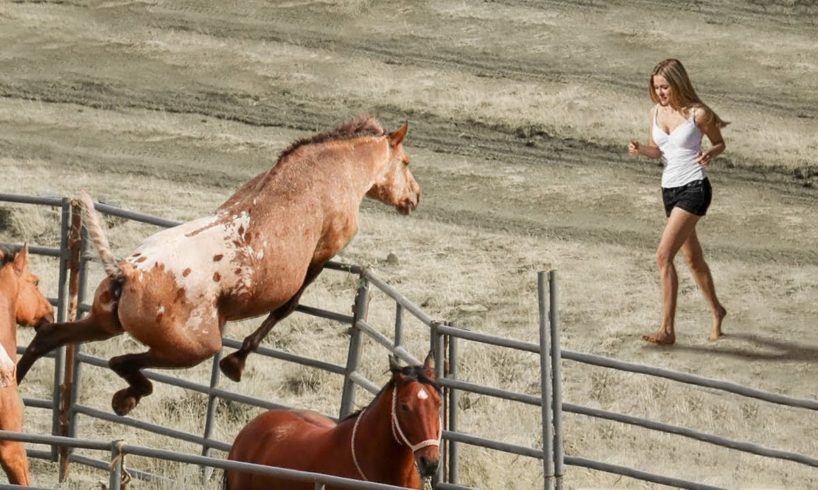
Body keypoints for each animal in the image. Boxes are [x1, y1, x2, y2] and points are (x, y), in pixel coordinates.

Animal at [15, 117, 420, 416]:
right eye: (406, 163)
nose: (415, 197)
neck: (329, 171)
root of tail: (127, 273)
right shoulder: (324, 253)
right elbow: (286, 307)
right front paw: (236, 363)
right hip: (195, 347)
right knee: (123, 362)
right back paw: (127, 397)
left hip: (103, 324)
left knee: (49, 337)